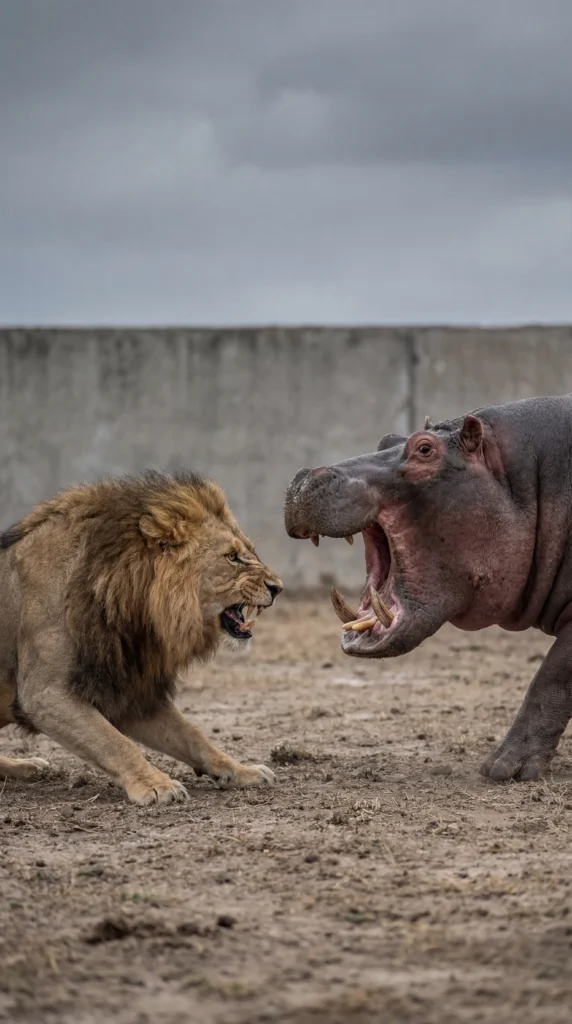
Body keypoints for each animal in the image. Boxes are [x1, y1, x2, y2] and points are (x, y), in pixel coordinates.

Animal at [284, 396, 572, 783]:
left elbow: (550, 676)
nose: (305, 477)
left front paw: (502, 768)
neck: (523, 478)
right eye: (386, 439)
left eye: (425, 449)